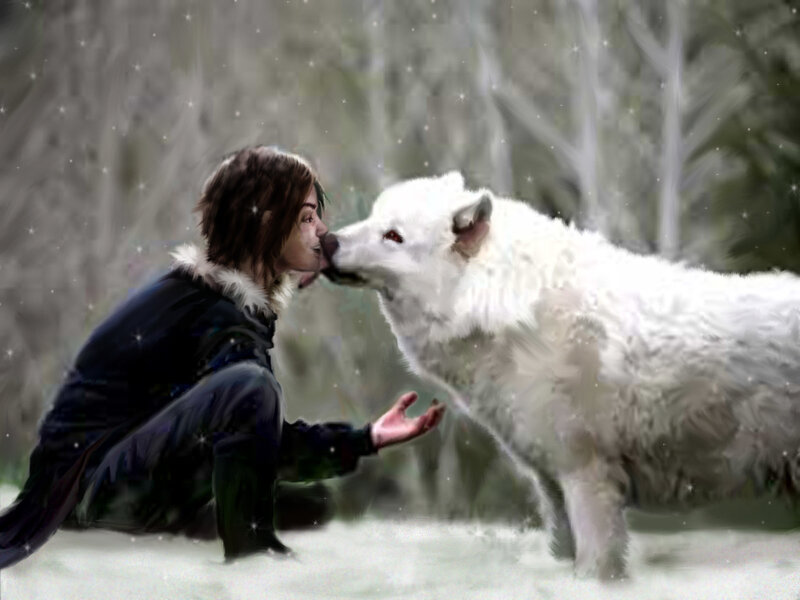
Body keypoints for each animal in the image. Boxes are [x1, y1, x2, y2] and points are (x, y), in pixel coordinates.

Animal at [320, 171, 800, 579]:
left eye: (393, 236)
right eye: (373, 217)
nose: (326, 240)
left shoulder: (587, 478)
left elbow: (596, 568)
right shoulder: (550, 483)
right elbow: (562, 556)